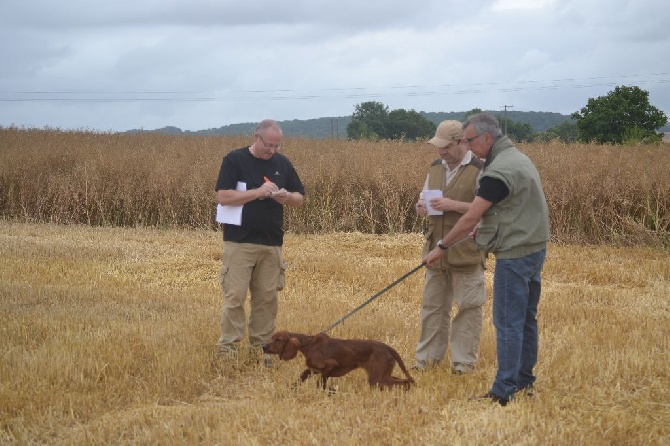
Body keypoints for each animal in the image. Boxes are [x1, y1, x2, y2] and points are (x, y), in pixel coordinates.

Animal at [262, 332, 414, 390]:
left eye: (278, 340)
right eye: (272, 338)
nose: (264, 346)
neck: (308, 344)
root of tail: (388, 347)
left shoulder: (330, 365)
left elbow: (320, 383)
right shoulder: (313, 369)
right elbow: (302, 376)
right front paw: (292, 389)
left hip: (376, 378)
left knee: (405, 382)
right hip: (382, 375)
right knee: (403, 381)